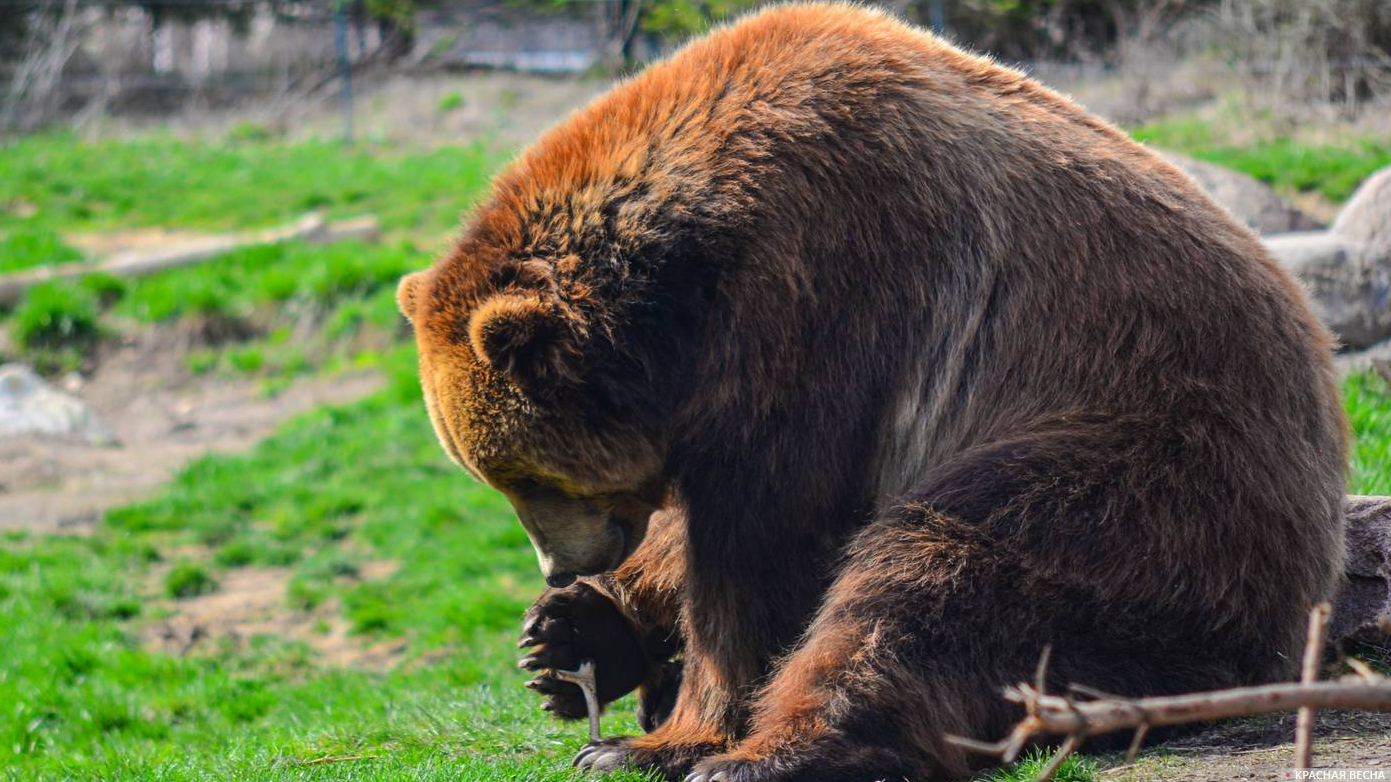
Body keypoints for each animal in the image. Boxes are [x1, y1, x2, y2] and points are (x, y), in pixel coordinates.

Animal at [397, 3, 1352, 773]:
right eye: (494, 477)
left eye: (525, 475)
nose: (563, 564)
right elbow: (692, 529)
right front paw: (566, 637)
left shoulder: (825, 287)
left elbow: (764, 537)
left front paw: (657, 739)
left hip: (1141, 465)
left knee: (941, 575)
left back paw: (776, 756)